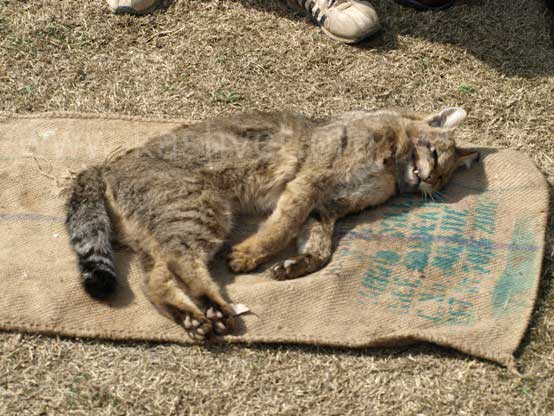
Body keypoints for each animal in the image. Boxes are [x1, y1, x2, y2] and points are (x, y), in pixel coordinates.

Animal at [64, 105, 476, 340]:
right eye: (434, 154)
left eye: (442, 179)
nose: (427, 180)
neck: (392, 167)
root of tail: (107, 167)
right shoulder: (311, 183)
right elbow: (282, 227)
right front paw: (251, 254)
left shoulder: (327, 207)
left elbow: (320, 250)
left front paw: (297, 265)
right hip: (202, 211)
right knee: (182, 263)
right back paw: (215, 308)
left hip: (171, 230)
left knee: (154, 281)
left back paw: (195, 317)